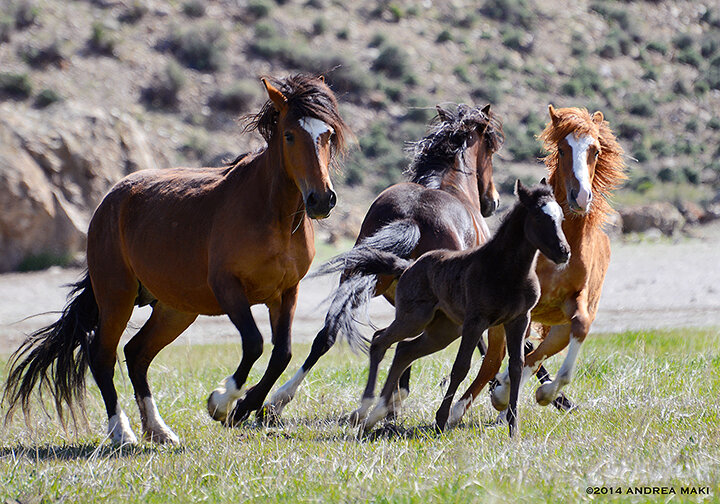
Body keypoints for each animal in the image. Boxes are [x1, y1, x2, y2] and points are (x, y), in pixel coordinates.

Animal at [0, 75, 348, 444]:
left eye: (328, 134)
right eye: (289, 135)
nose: (321, 199)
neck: (272, 214)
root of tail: (110, 200)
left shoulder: (285, 292)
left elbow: (282, 353)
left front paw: (245, 407)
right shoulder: (228, 287)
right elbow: (254, 343)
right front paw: (221, 401)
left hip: (175, 310)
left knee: (136, 354)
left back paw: (158, 429)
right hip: (117, 297)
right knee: (103, 355)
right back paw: (122, 431)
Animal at [260, 102, 506, 422]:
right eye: (491, 146)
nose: (493, 201)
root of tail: (413, 217)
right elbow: (479, 347)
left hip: (359, 274)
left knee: (328, 333)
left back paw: (278, 400)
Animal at [320, 181, 568, 438]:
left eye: (561, 218)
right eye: (539, 217)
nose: (564, 251)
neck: (505, 270)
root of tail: (407, 266)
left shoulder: (518, 320)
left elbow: (517, 365)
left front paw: (513, 428)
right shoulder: (475, 321)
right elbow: (461, 367)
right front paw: (441, 420)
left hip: (443, 330)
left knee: (404, 350)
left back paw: (376, 414)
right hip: (415, 319)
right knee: (380, 340)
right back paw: (366, 409)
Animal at [448, 104, 628, 428]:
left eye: (595, 150)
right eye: (562, 149)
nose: (581, 196)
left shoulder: (575, 305)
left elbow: (579, 329)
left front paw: (545, 392)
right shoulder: (521, 310)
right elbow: (512, 355)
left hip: (557, 327)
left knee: (534, 354)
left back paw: (505, 394)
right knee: (494, 360)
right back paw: (466, 407)